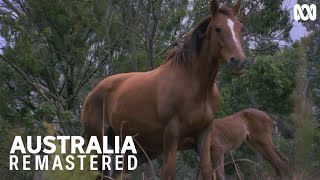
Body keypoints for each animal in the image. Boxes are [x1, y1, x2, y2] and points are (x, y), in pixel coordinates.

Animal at [80, 0, 245, 179]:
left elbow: (207, 171)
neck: (195, 85)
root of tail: (92, 94)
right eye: (218, 28)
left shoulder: (204, 133)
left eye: (240, 27)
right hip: (99, 144)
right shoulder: (171, 136)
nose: (239, 61)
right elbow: (168, 172)